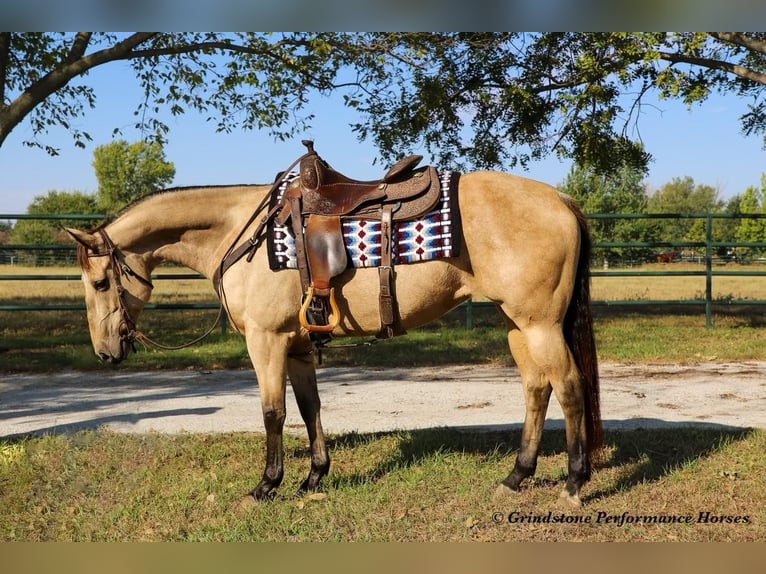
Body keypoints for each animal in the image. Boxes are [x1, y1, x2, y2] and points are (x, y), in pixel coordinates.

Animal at [66, 146, 608, 510]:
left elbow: (272, 412)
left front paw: (267, 485)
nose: (105, 352)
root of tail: (561, 199)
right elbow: (310, 409)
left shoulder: (266, 341)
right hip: (517, 324)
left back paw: (573, 484)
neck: (243, 233)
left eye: (99, 282)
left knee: (569, 387)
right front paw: (313, 479)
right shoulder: (298, 345)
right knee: (537, 388)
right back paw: (517, 476)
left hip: (540, 325)